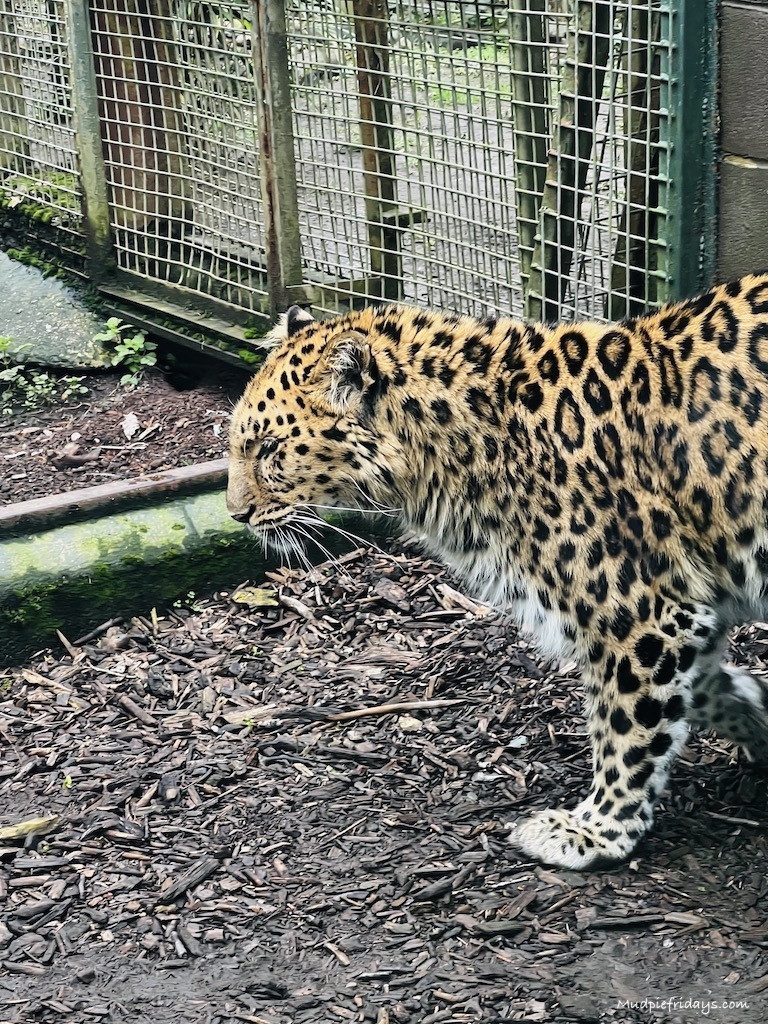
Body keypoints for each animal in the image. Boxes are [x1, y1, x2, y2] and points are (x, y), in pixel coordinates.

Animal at [227, 274, 768, 869]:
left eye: (270, 448)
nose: (236, 514)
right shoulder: (691, 607)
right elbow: (705, 690)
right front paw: (759, 717)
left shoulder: (642, 618)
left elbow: (625, 728)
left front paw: (597, 831)